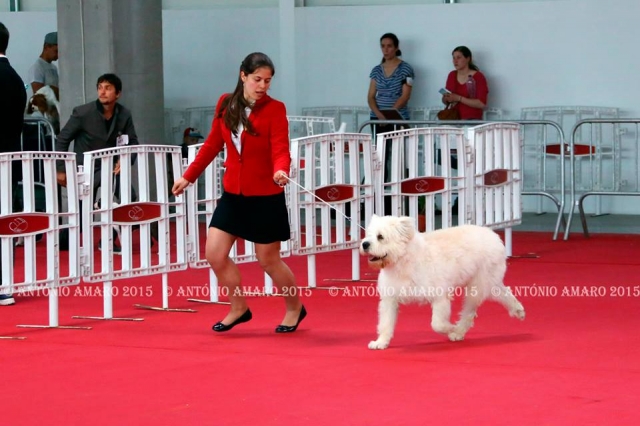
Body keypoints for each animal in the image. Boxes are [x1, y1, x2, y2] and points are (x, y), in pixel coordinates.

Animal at [360, 215, 524, 352]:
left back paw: (458, 331)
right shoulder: (389, 300)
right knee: (503, 293)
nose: (365, 244)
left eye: (380, 237)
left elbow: (437, 324)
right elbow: (385, 324)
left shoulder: (440, 298)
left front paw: (451, 328)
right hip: (487, 283)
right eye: (368, 235)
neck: (403, 261)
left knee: (470, 311)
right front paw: (381, 342)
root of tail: (492, 235)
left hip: (478, 287)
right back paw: (517, 310)